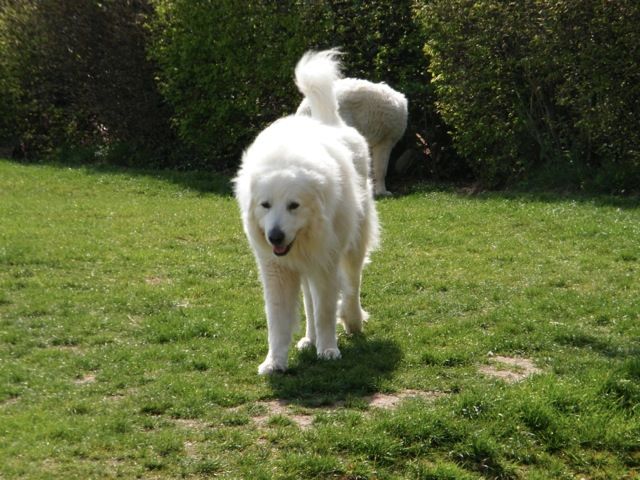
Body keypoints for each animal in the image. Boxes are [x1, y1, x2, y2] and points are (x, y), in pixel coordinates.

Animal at [235, 49, 380, 376]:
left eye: (294, 205)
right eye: (265, 205)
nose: (275, 237)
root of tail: (330, 122)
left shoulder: (325, 263)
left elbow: (326, 310)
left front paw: (328, 350)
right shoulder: (277, 270)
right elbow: (278, 321)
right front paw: (274, 361)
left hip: (351, 246)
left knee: (351, 285)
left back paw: (352, 321)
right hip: (305, 267)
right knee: (310, 304)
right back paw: (309, 339)